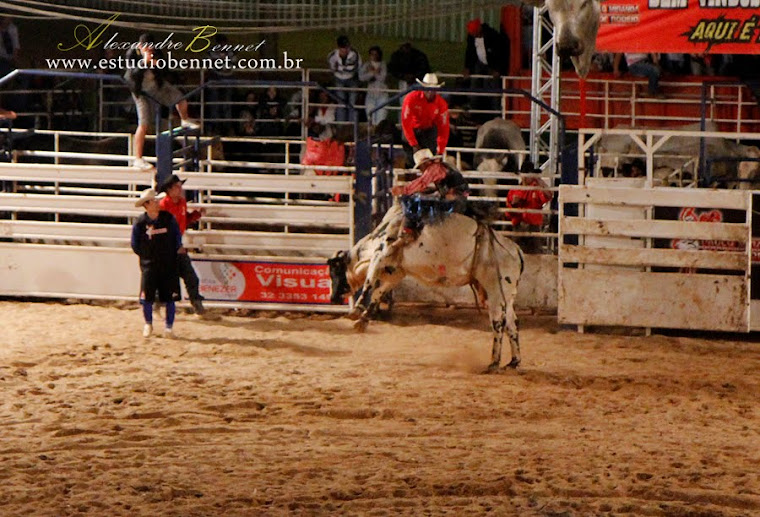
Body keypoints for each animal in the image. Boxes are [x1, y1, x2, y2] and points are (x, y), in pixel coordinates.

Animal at [326, 202, 524, 370]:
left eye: (334, 270)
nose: (332, 298)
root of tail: (516, 250)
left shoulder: (380, 255)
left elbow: (368, 283)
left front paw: (355, 311)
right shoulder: (396, 272)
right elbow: (377, 293)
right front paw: (363, 321)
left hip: (495, 291)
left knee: (498, 322)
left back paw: (494, 363)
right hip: (507, 296)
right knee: (511, 323)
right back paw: (513, 362)